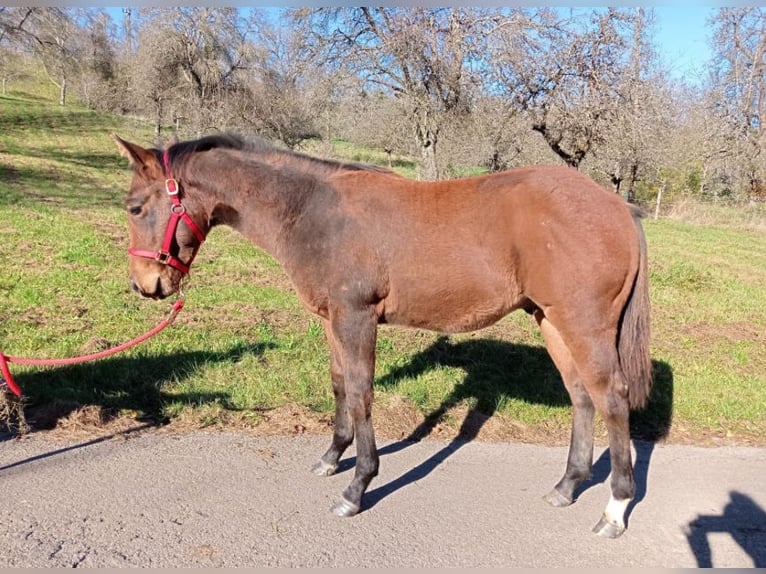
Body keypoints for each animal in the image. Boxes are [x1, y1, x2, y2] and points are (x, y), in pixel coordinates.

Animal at [115, 134, 656, 540]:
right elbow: (339, 386)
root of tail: (618, 207)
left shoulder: (356, 317)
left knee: (612, 399)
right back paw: (567, 486)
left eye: (136, 207)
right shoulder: (332, 318)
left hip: (583, 324)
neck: (312, 211)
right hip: (551, 321)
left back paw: (614, 509)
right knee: (581, 397)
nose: (145, 286)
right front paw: (331, 458)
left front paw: (357, 487)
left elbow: (360, 394)